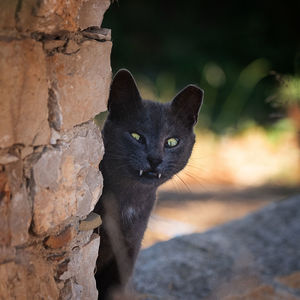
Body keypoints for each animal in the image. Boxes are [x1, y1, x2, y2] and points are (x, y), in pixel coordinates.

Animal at [92, 69, 203, 298]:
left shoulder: (127, 253)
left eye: (172, 142)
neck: (129, 202)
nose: (154, 159)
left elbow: (112, 291)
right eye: (136, 136)